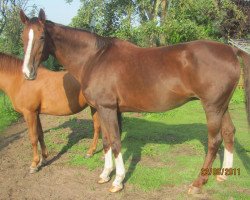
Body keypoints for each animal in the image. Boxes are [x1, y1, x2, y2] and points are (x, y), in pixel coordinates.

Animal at [20, 9, 250, 194]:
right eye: (23, 37)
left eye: (42, 36)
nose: (28, 73)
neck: (95, 58)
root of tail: (231, 50)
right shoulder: (104, 110)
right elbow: (106, 141)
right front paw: (105, 175)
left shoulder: (107, 108)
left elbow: (115, 142)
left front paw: (117, 181)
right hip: (222, 106)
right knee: (229, 132)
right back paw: (224, 174)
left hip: (212, 107)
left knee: (214, 141)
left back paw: (198, 183)